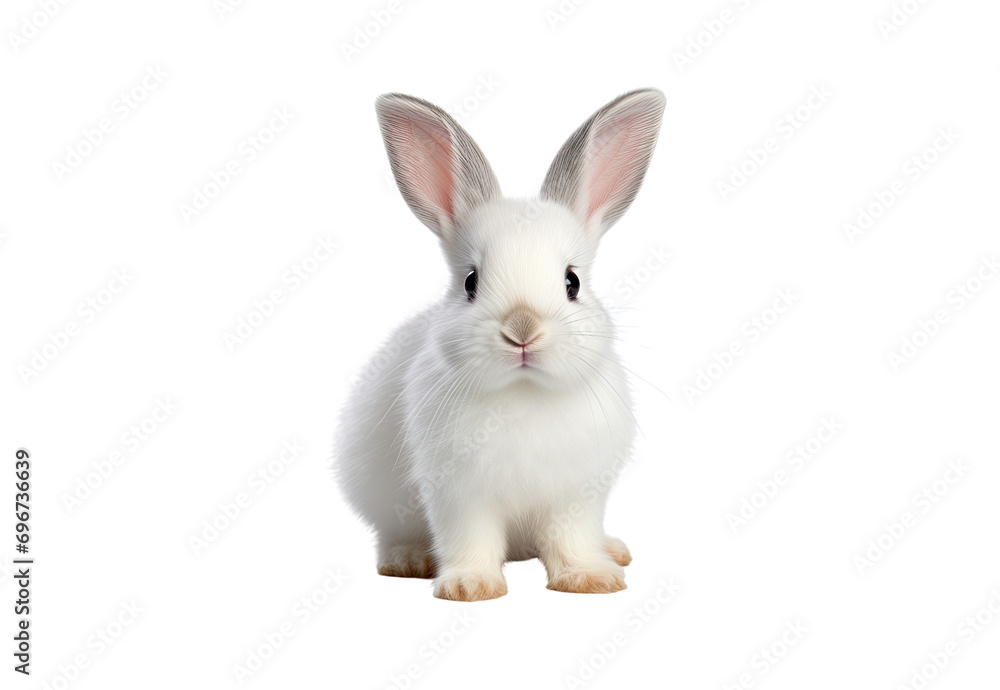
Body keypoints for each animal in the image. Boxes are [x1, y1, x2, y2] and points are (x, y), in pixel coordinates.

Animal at [335, 88, 665, 601]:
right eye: (471, 281)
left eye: (571, 282)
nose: (522, 329)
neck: (523, 393)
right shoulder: (459, 498)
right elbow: (469, 540)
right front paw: (469, 587)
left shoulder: (574, 499)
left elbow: (571, 540)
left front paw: (591, 580)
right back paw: (409, 560)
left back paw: (614, 551)